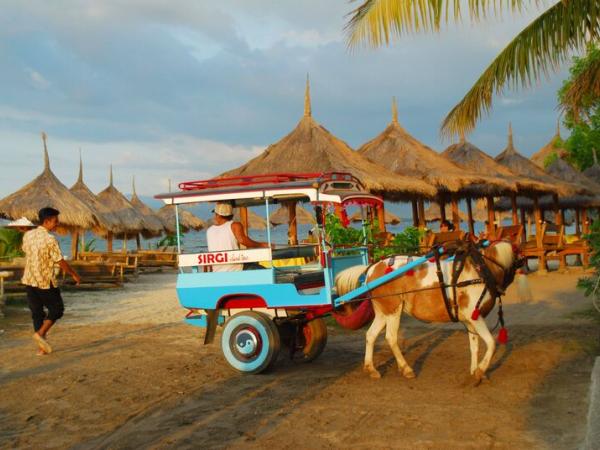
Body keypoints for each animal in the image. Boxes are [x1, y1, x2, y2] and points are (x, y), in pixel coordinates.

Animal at [332, 239, 524, 384]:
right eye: (519, 256)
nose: (526, 265)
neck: (480, 268)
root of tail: (371, 269)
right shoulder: (475, 317)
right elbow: (491, 343)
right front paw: (480, 370)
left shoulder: (470, 320)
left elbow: (474, 346)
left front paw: (475, 371)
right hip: (394, 310)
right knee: (391, 337)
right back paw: (406, 369)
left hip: (383, 311)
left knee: (371, 335)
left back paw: (371, 368)